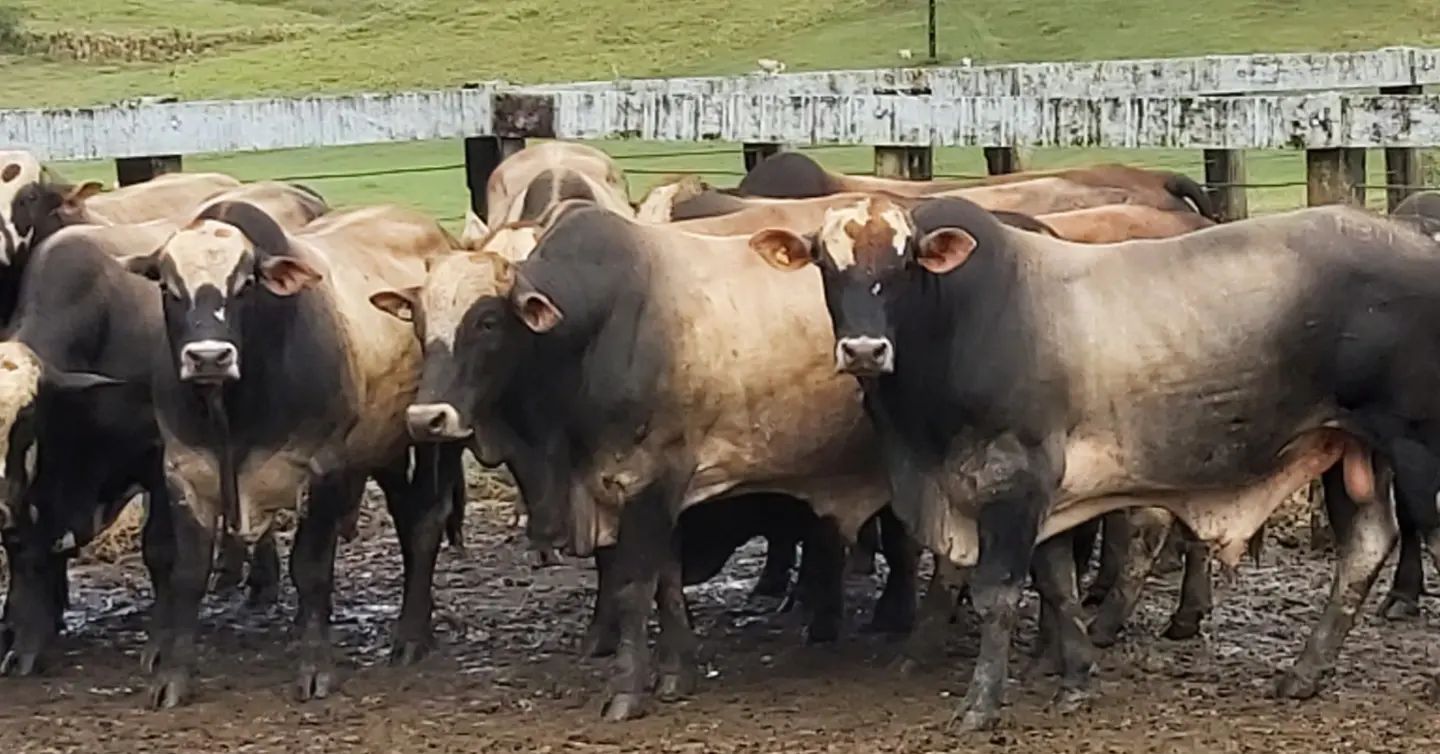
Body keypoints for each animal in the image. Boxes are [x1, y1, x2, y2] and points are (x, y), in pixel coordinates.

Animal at [121, 200, 452, 707]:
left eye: (245, 284)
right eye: (167, 286)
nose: (209, 357)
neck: (232, 410)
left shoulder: (324, 469)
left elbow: (310, 571)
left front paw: (316, 669)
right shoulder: (184, 473)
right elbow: (187, 576)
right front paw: (172, 677)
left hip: (430, 438)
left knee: (426, 523)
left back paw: (411, 634)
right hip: (385, 448)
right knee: (407, 516)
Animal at [748, 194, 1440, 730]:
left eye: (901, 261)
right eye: (826, 264)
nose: (864, 349)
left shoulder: (1013, 479)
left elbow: (999, 592)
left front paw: (980, 705)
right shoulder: (1050, 495)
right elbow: (1056, 582)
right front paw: (1077, 678)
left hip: (1417, 446)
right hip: (1351, 447)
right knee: (1366, 545)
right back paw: (1304, 672)